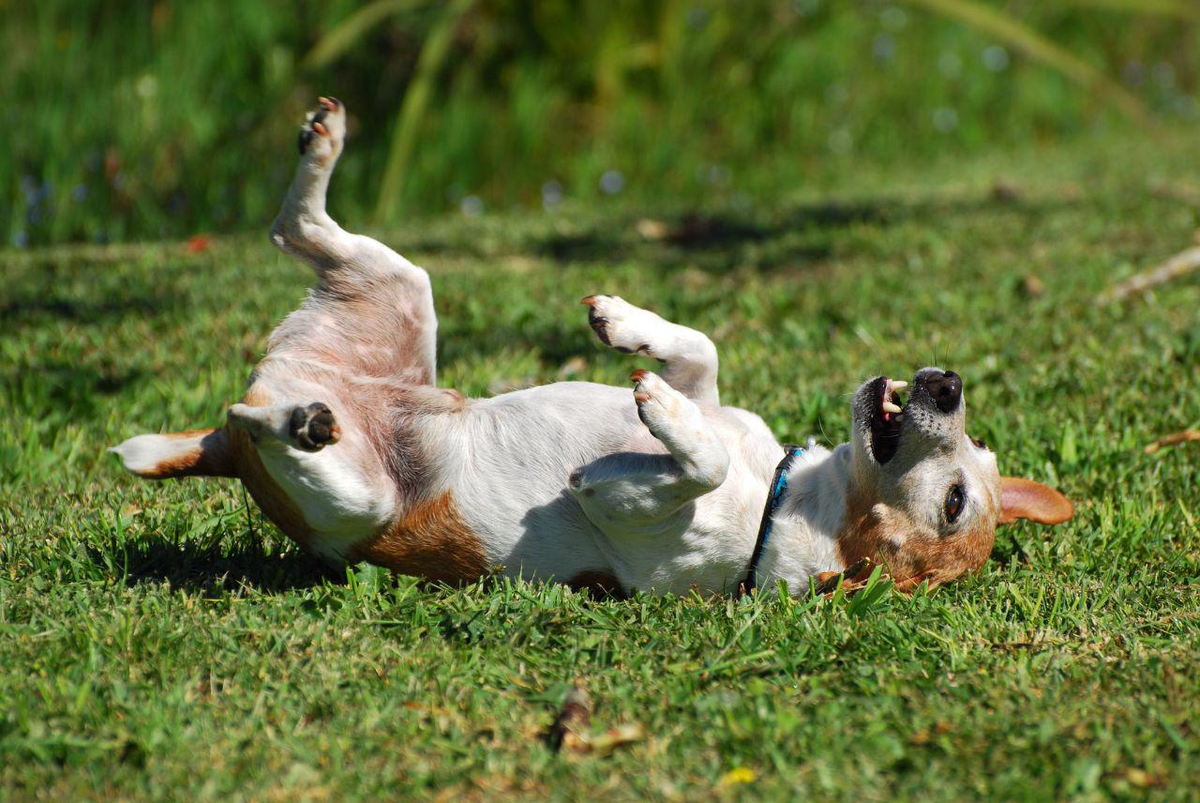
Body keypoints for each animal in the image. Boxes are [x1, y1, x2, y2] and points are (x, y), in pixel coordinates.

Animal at [110, 97, 1070, 595]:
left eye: (955, 504)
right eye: (976, 456)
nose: (948, 384)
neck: (790, 490)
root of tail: (225, 439)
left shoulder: (655, 531)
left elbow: (686, 466)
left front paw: (650, 431)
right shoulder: (722, 398)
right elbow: (701, 353)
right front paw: (625, 326)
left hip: (356, 501)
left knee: (268, 412)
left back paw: (300, 420)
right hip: (401, 283)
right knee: (294, 228)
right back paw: (324, 143)